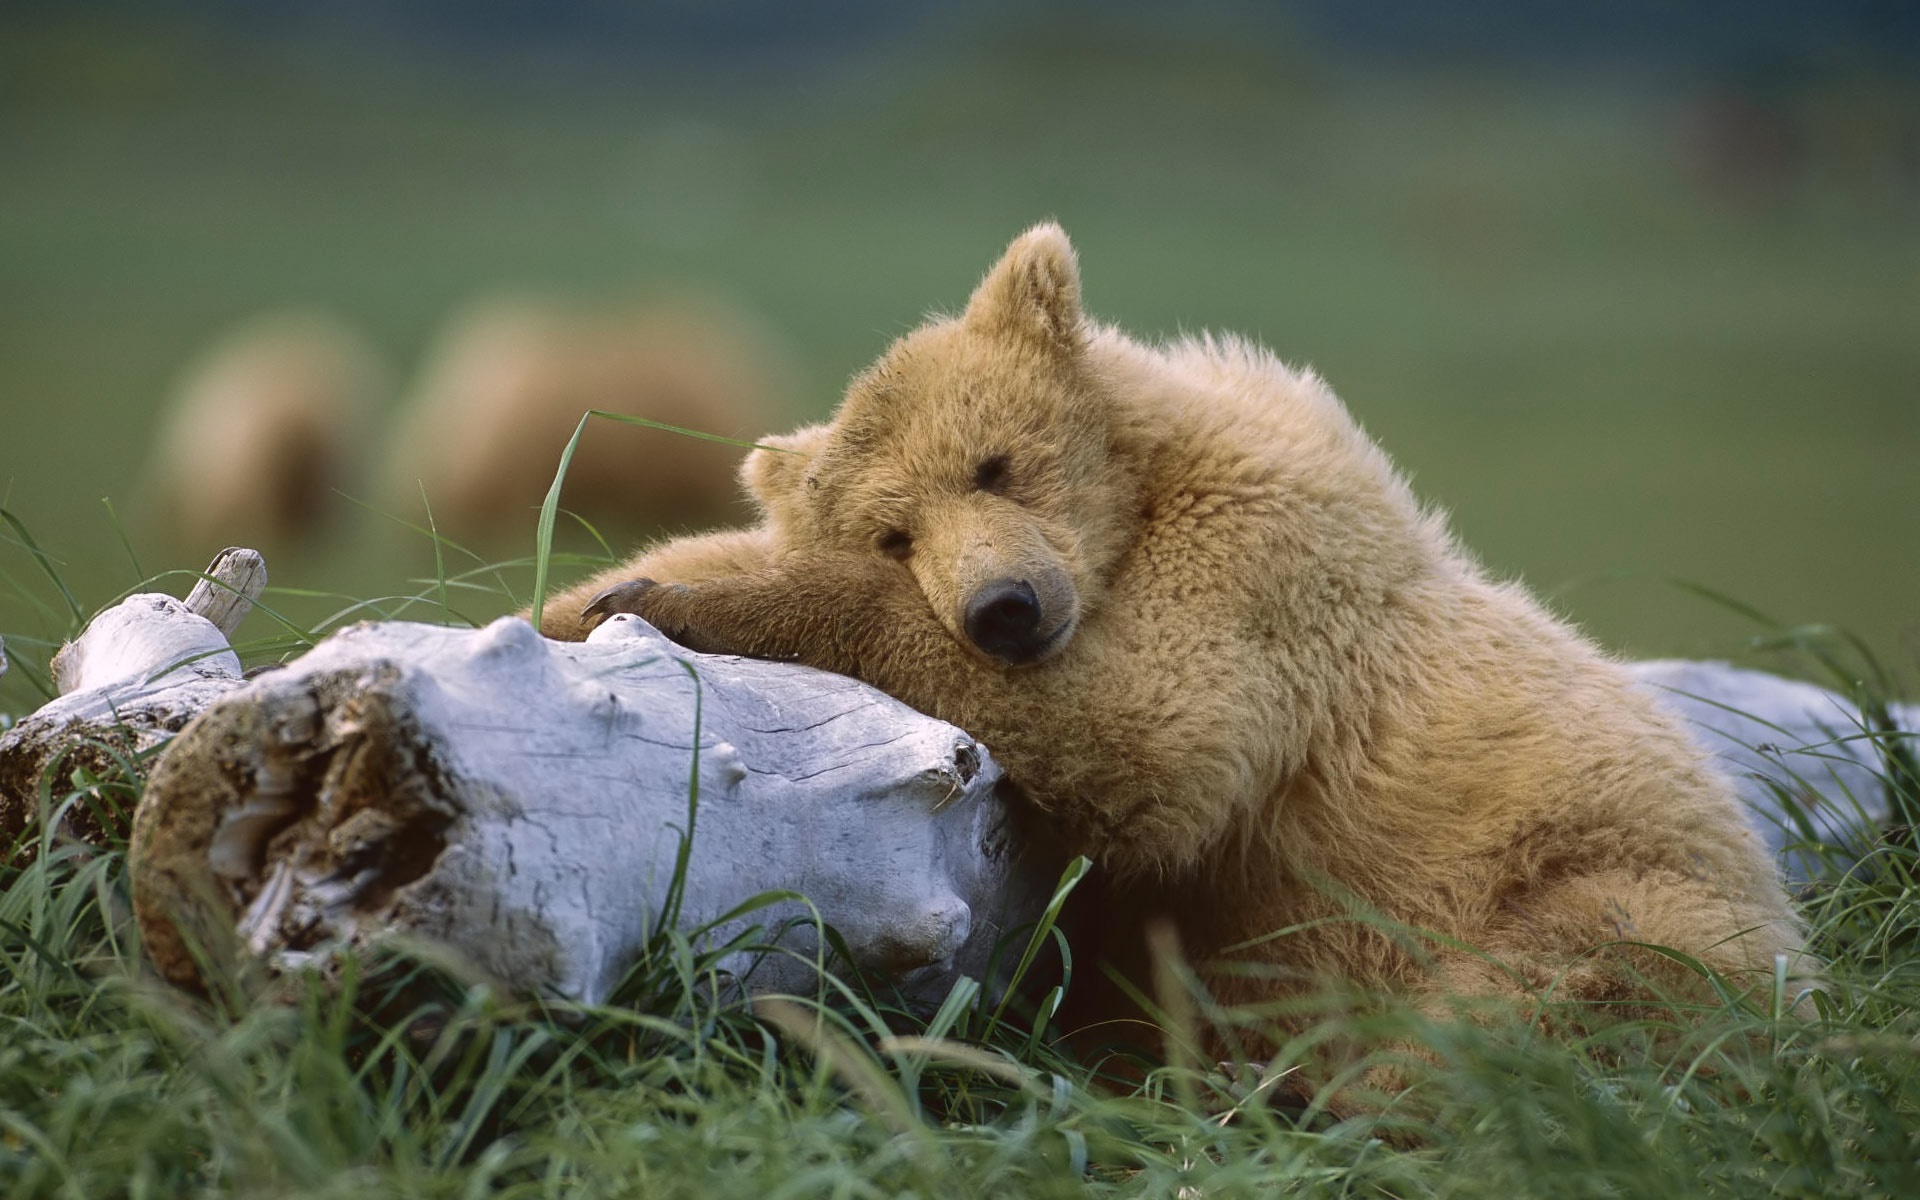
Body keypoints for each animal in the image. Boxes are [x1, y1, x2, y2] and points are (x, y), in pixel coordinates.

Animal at [537, 224, 1797, 1067]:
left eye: (995, 463)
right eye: (895, 530)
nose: (1003, 608)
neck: (1140, 500)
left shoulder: (1261, 570)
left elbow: (1149, 732)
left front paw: (691, 604)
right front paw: (594, 594)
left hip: (1607, 885)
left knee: (1552, 998)